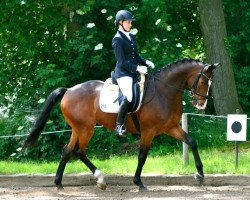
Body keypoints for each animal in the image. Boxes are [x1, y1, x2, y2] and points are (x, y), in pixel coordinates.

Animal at [23, 57, 219, 191]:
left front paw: (200, 174)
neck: (164, 92)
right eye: (203, 81)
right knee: (79, 151)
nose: (201, 105)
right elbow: (142, 156)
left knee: (67, 150)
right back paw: (100, 179)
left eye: (211, 82)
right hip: (86, 129)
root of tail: (69, 90)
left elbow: (192, 141)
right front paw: (139, 183)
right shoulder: (149, 131)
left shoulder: (170, 127)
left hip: (78, 128)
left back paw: (59, 183)